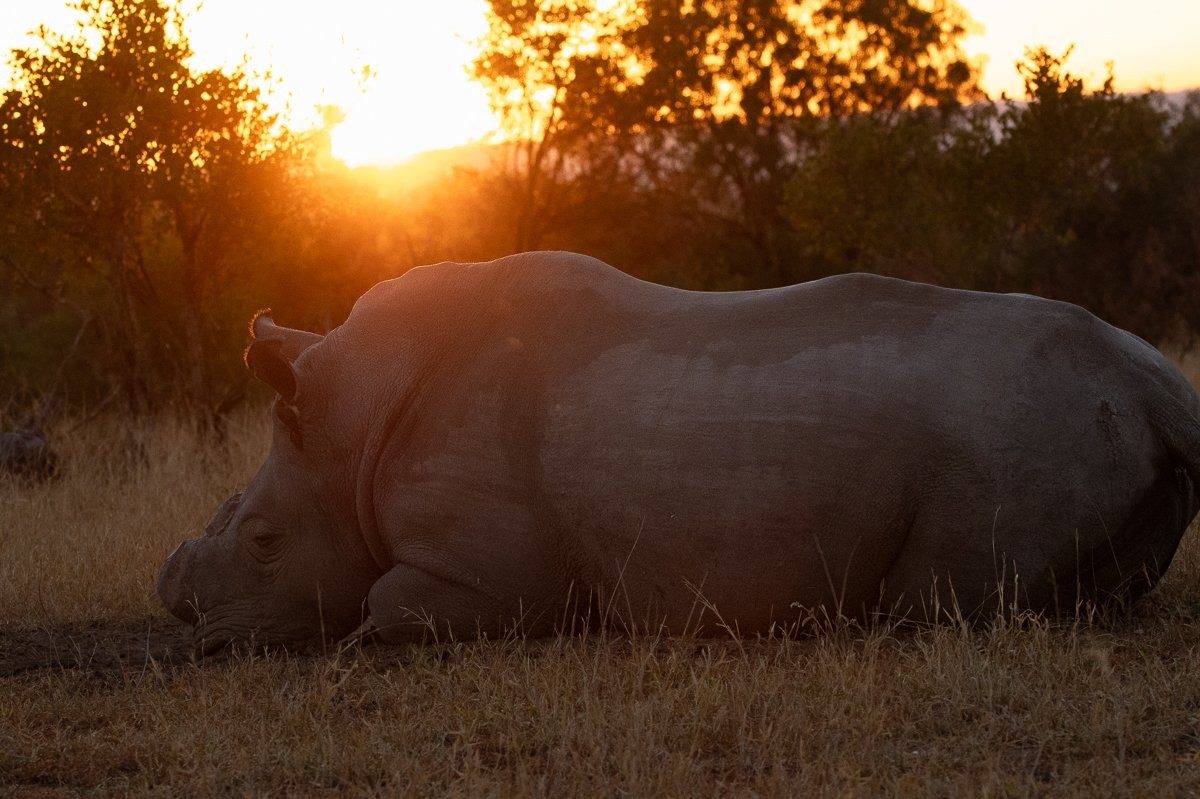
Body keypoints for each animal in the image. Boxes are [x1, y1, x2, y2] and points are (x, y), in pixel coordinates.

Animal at [157, 251, 1200, 648]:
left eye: (263, 542)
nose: (185, 620)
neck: (350, 420)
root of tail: (1162, 388)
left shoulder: (487, 576)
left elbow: (379, 606)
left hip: (1012, 433)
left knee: (932, 602)